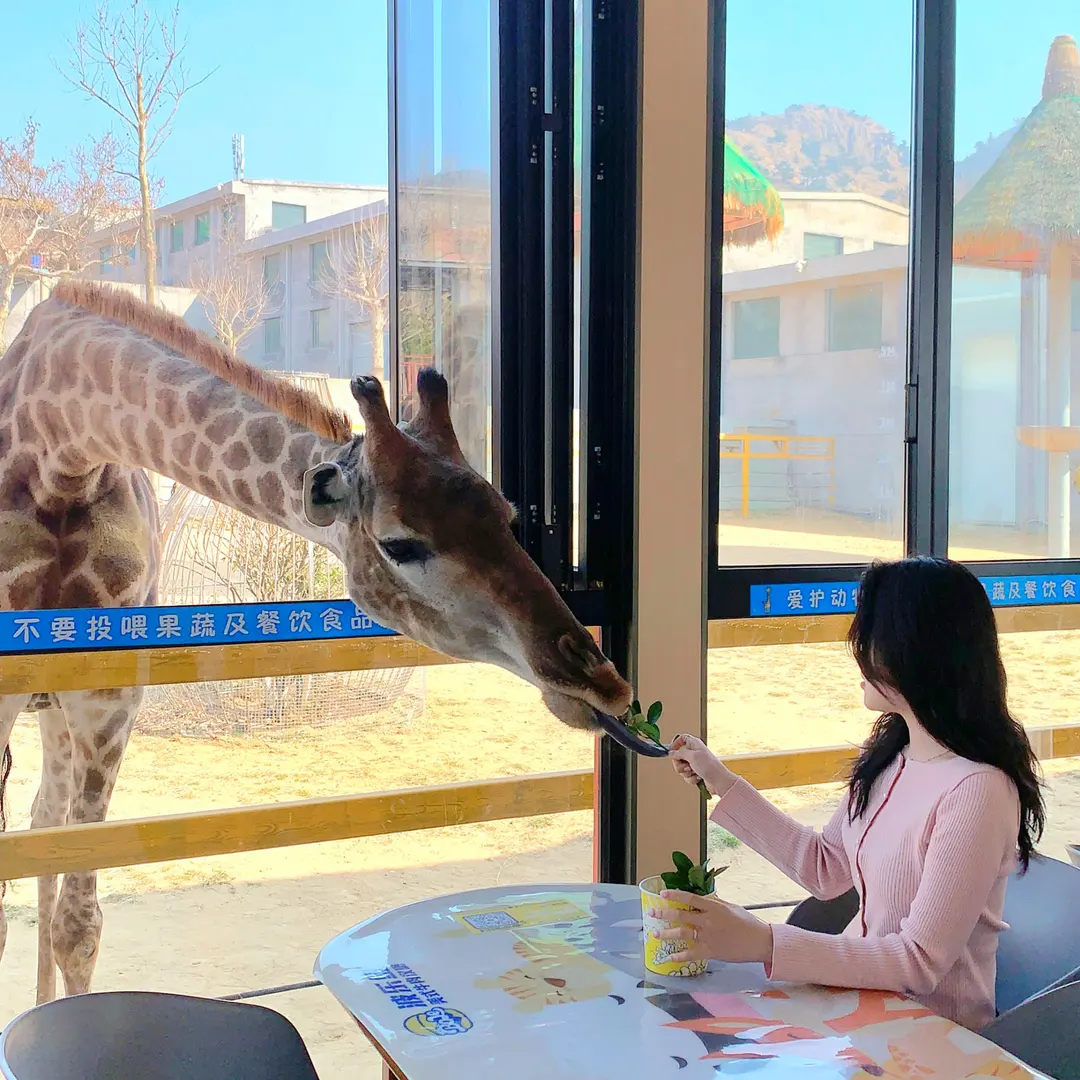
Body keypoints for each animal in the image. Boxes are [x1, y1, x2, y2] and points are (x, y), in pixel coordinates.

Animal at [0, 280, 634, 1003]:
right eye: (400, 543)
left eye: (506, 514)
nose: (602, 683)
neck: (61, 443)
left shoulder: (109, 693)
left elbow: (80, 922)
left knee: (43, 821)